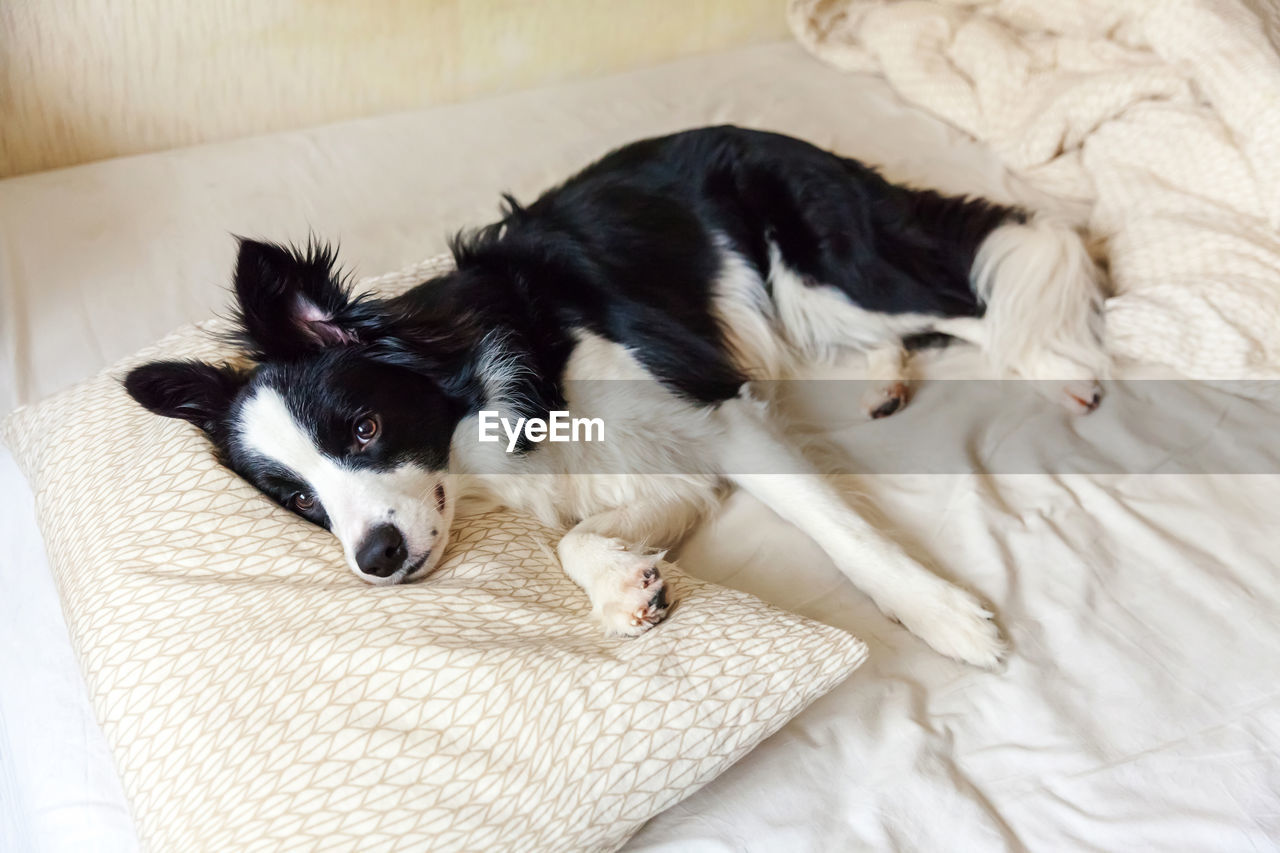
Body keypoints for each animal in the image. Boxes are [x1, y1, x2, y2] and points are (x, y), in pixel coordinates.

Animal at [127, 124, 1111, 666]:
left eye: (365, 427)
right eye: (299, 501)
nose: (375, 557)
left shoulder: (716, 416)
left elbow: (842, 531)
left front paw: (942, 614)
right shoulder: (666, 471)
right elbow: (575, 538)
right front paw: (623, 589)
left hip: (825, 270)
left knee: (976, 292)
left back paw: (1062, 370)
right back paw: (883, 379)